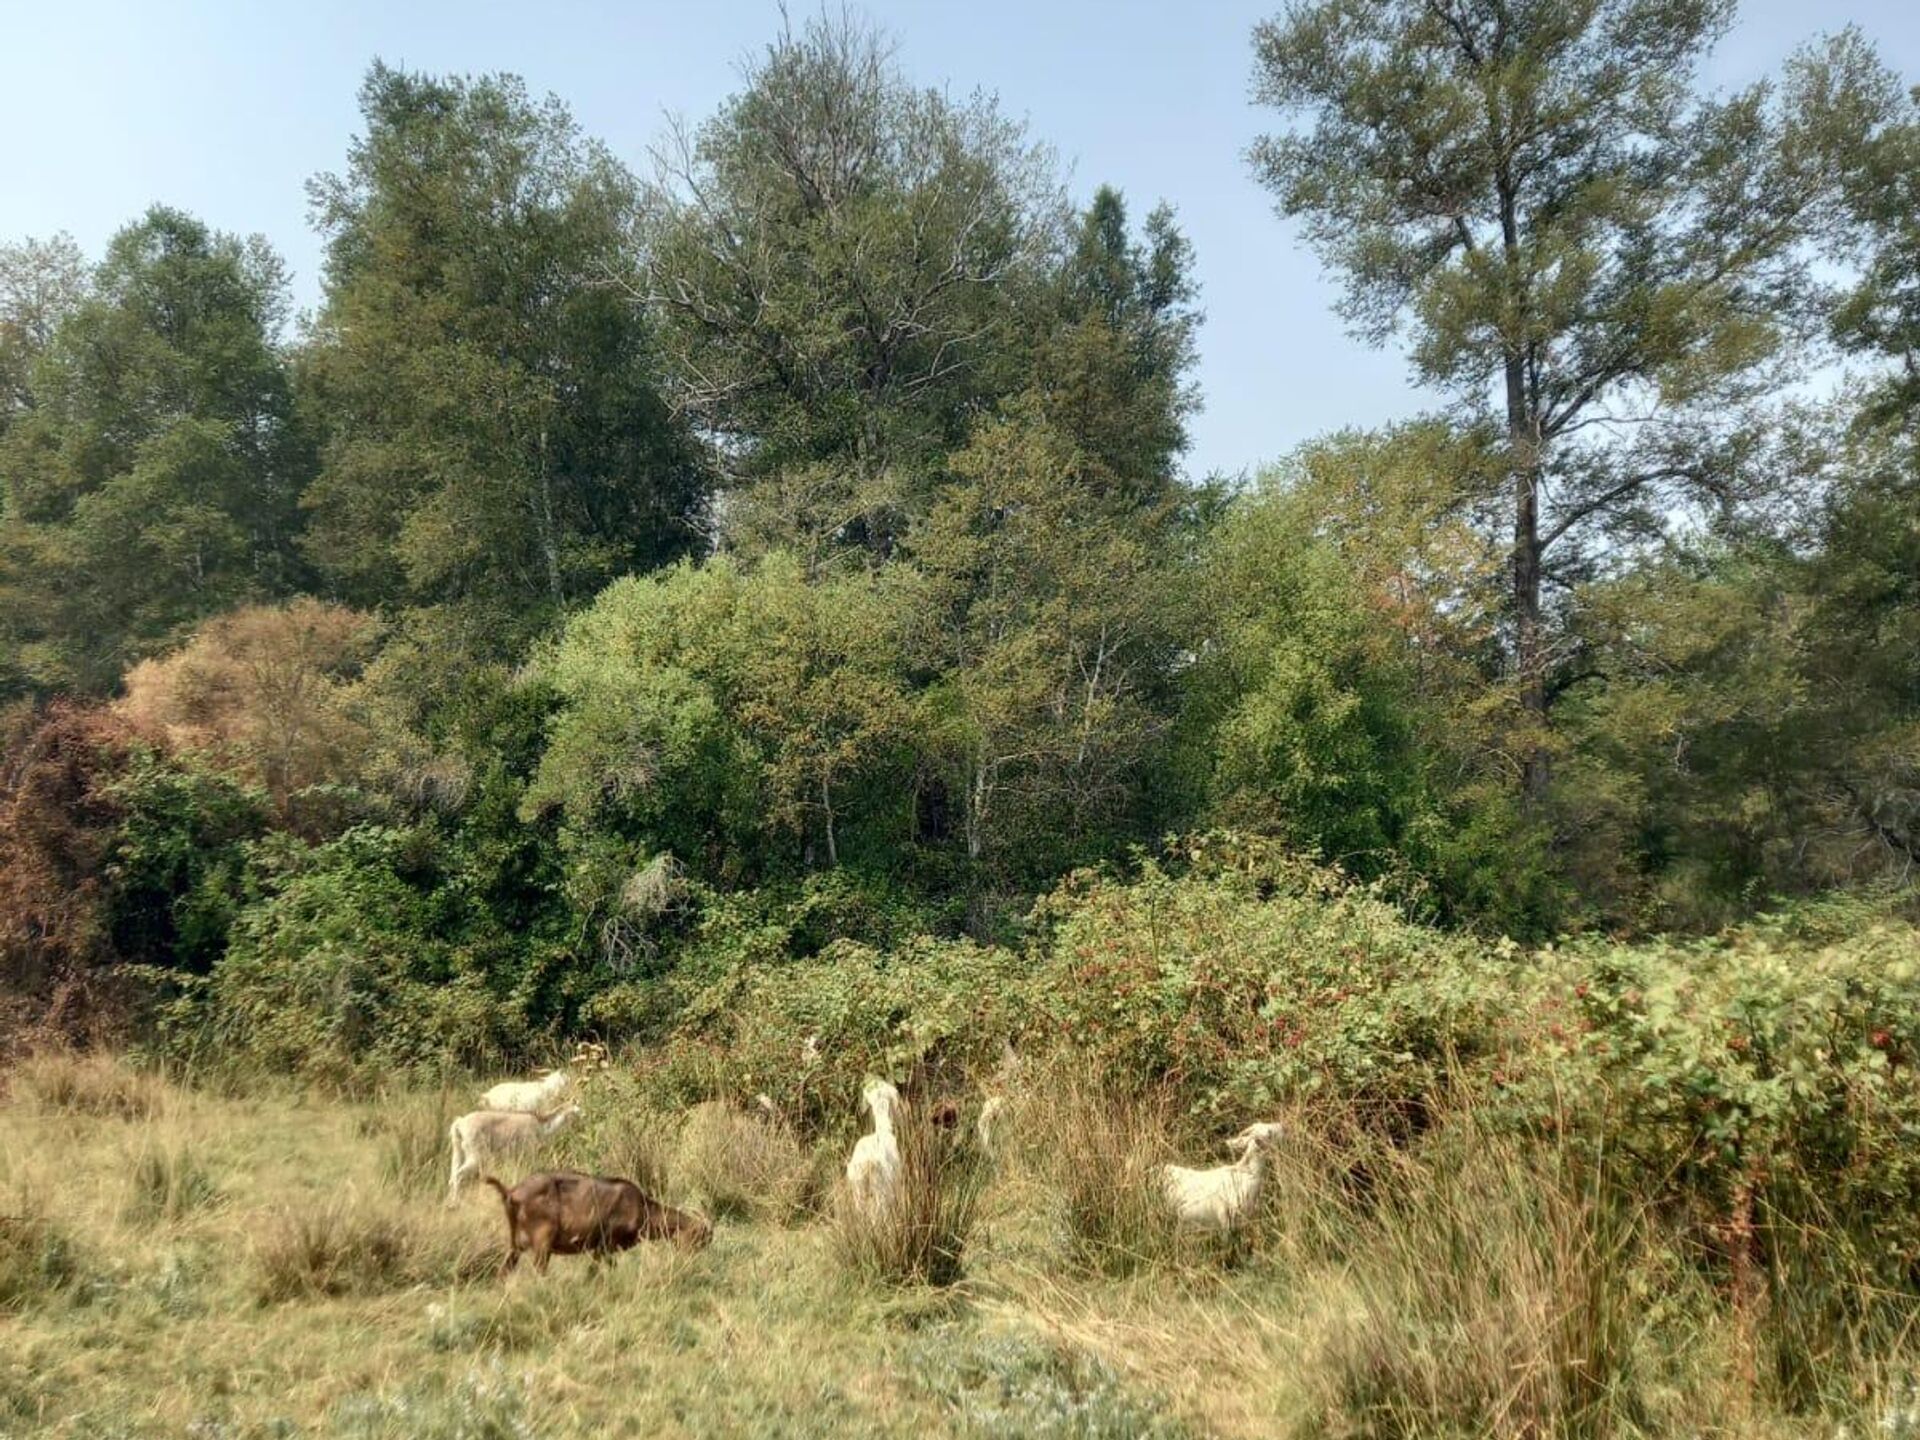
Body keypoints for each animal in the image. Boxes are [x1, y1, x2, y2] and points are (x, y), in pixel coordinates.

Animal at [447, 1105, 576, 1205]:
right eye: (574, 1109)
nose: (581, 1111)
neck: (541, 1128)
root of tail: (460, 1123)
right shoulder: (529, 1153)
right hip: (476, 1155)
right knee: (458, 1175)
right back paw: (457, 1201)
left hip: (458, 1152)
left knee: (452, 1176)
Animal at [483, 1175, 718, 1274]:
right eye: (700, 1238)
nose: (693, 1263)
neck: (643, 1209)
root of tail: (511, 1193)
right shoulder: (606, 1244)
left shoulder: (598, 1249)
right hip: (542, 1242)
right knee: (539, 1270)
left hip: (514, 1246)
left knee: (504, 1271)